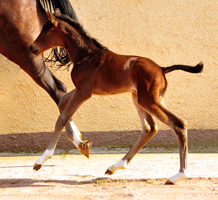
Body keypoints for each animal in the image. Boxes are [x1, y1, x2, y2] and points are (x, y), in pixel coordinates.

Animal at [29, 11, 204, 184]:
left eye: (46, 30)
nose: (32, 48)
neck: (86, 56)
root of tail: (162, 69)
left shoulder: (84, 92)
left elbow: (62, 118)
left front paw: (41, 160)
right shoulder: (82, 90)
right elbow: (63, 100)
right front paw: (81, 144)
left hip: (149, 100)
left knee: (178, 124)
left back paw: (179, 174)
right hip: (139, 98)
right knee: (149, 128)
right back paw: (116, 166)